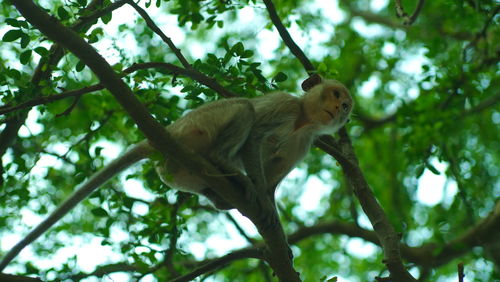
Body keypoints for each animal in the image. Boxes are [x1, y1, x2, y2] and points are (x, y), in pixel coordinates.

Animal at [0, 75, 354, 270]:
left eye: (346, 105)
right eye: (337, 95)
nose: (340, 110)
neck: (303, 121)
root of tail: (164, 135)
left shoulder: (306, 142)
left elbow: (273, 180)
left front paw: (274, 220)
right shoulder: (284, 106)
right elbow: (254, 139)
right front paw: (262, 201)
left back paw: (221, 196)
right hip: (196, 125)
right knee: (244, 108)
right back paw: (227, 166)